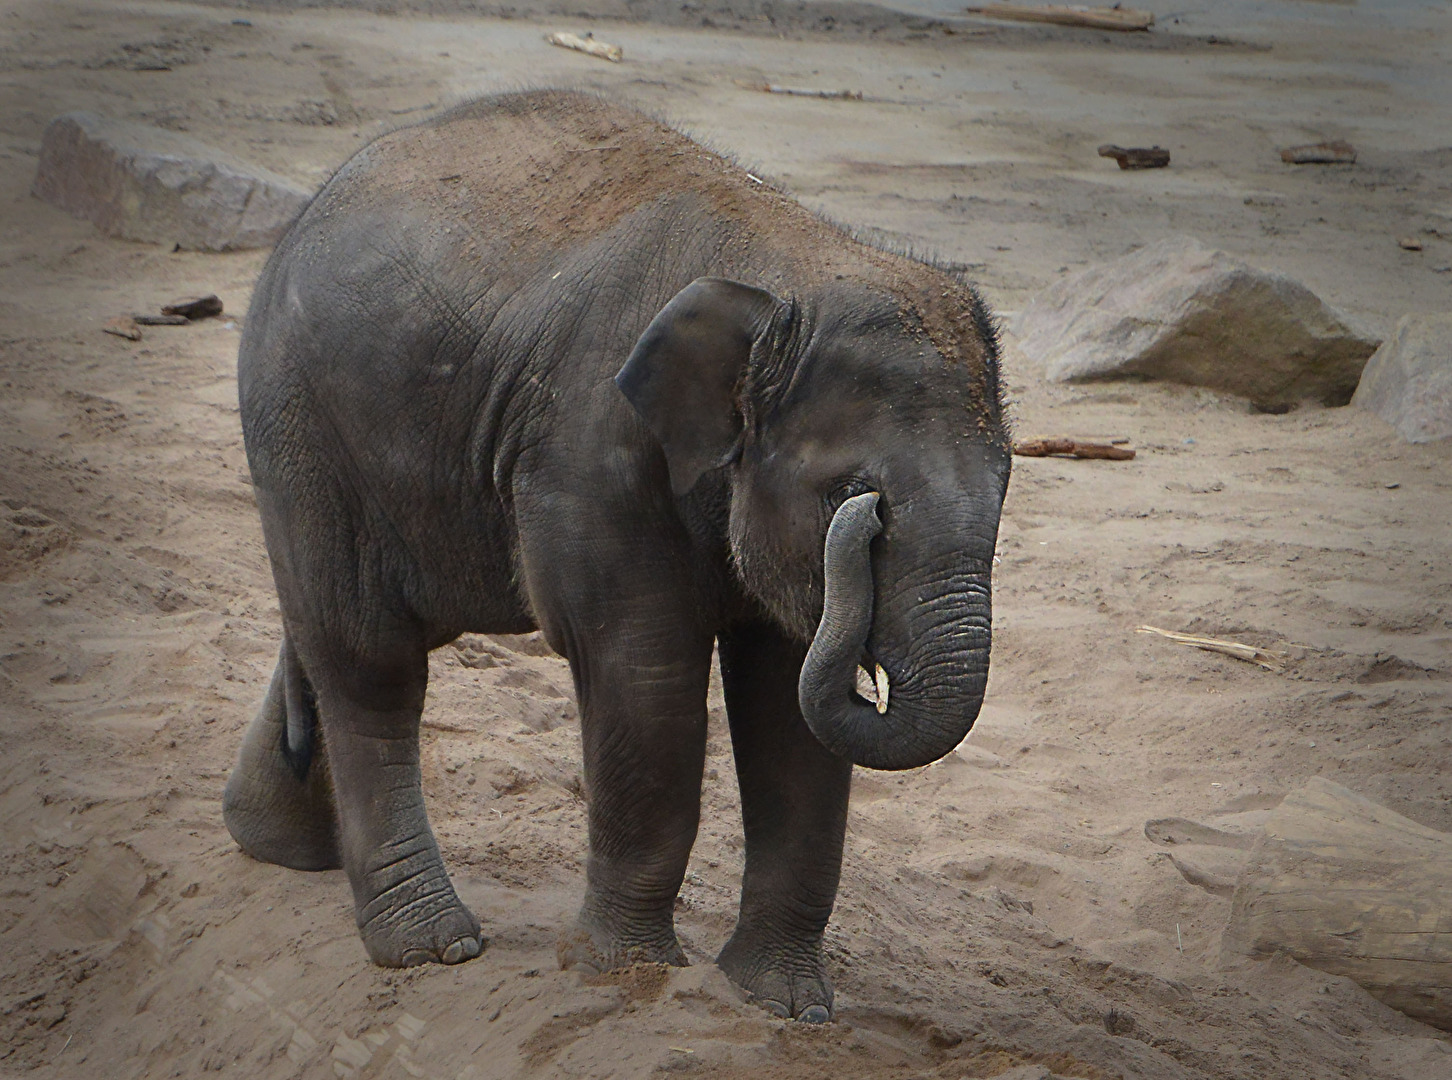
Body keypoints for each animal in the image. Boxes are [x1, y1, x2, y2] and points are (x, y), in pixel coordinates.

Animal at [223, 90, 1010, 1021]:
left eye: (1006, 484)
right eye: (849, 492)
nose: (861, 523)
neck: (785, 268)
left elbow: (787, 702)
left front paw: (786, 1002)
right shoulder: (590, 451)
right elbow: (644, 674)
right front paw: (626, 972)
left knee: (323, 630)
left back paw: (277, 846)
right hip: (300, 421)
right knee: (369, 660)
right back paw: (432, 945)